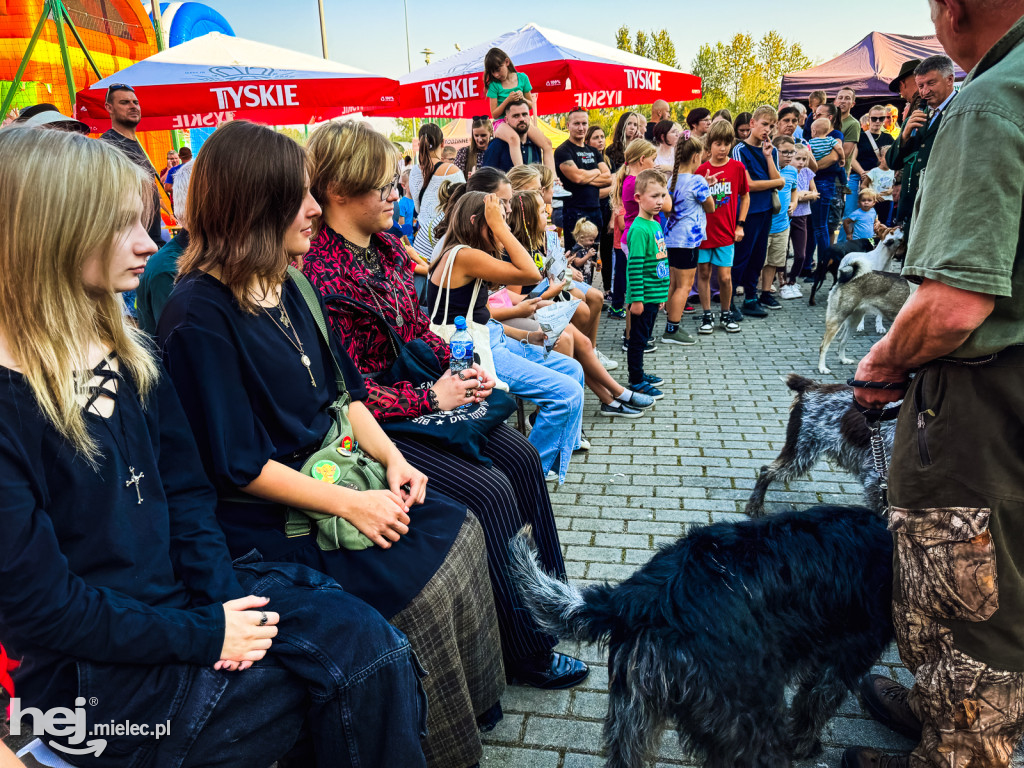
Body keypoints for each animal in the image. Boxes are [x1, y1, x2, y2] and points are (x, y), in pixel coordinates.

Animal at [507, 505, 892, 768]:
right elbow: (814, 705)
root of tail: (641, 597)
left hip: (632, 715)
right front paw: (806, 745)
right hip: (749, 717)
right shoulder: (844, 660)